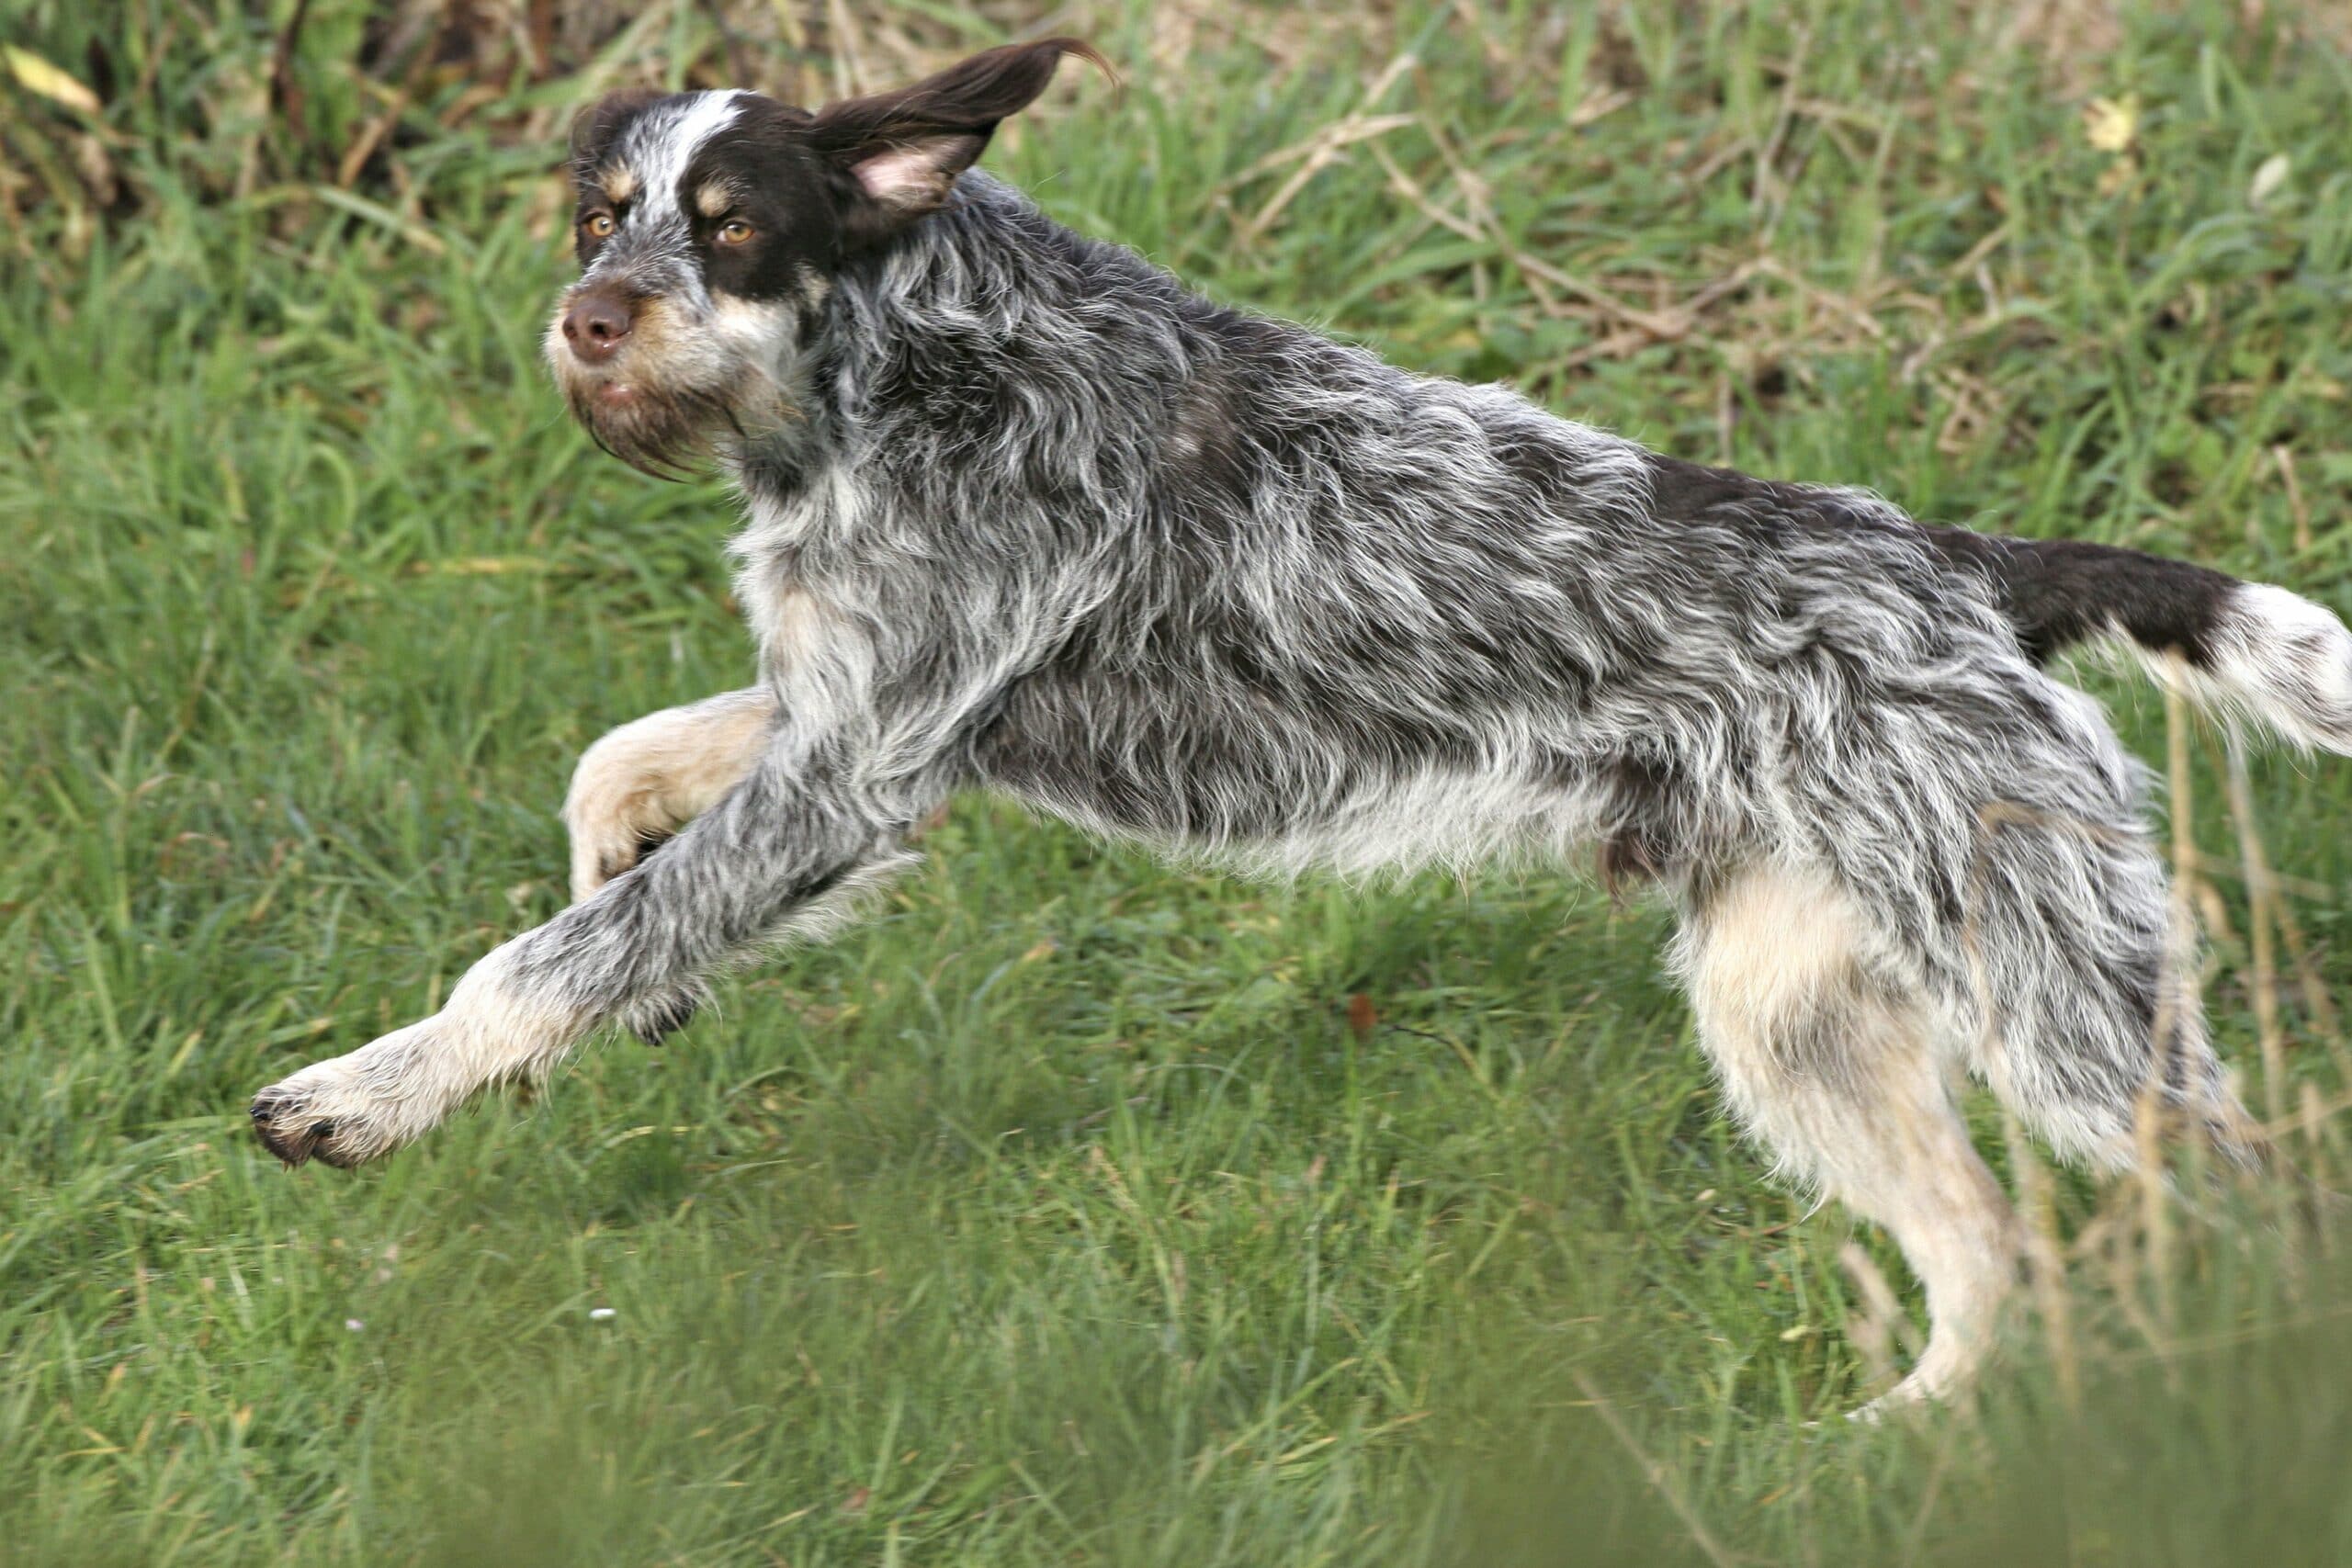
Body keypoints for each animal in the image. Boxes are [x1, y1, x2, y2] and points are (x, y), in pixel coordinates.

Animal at [248, 39, 2352, 1410]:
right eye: (600, 214)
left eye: (734, 225)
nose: (590, 317)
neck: (912, 369)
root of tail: (1960, 565)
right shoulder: (840, 714)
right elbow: (615, 781)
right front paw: (624, 922)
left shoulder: (853, 767)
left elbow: (543, 959)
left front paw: (368, 1089)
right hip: (1797, 1021)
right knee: (1986, 1259)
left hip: (2059, 1015)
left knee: (2242, 1202)